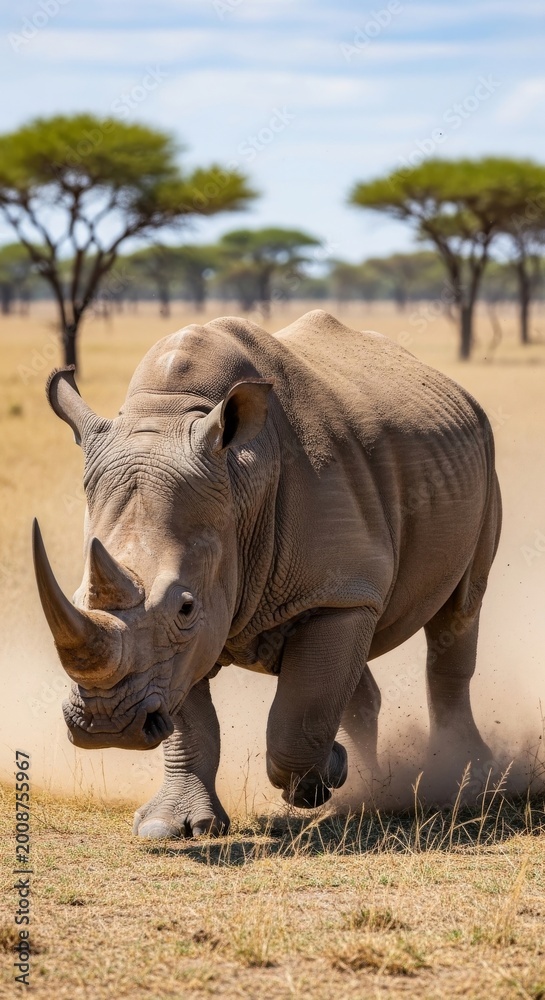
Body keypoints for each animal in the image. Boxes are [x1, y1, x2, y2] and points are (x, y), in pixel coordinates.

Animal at [33, 310, 501, 838]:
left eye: (185, 606)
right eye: (77, 598)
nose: (106, 723)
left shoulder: (330, 591)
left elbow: (297, 718)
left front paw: (323, 778)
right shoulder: (196, 632)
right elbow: (192, 719)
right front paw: (172, 827)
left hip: (482, 459)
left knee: (458, 613)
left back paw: (463, 781)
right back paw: (373, 786)